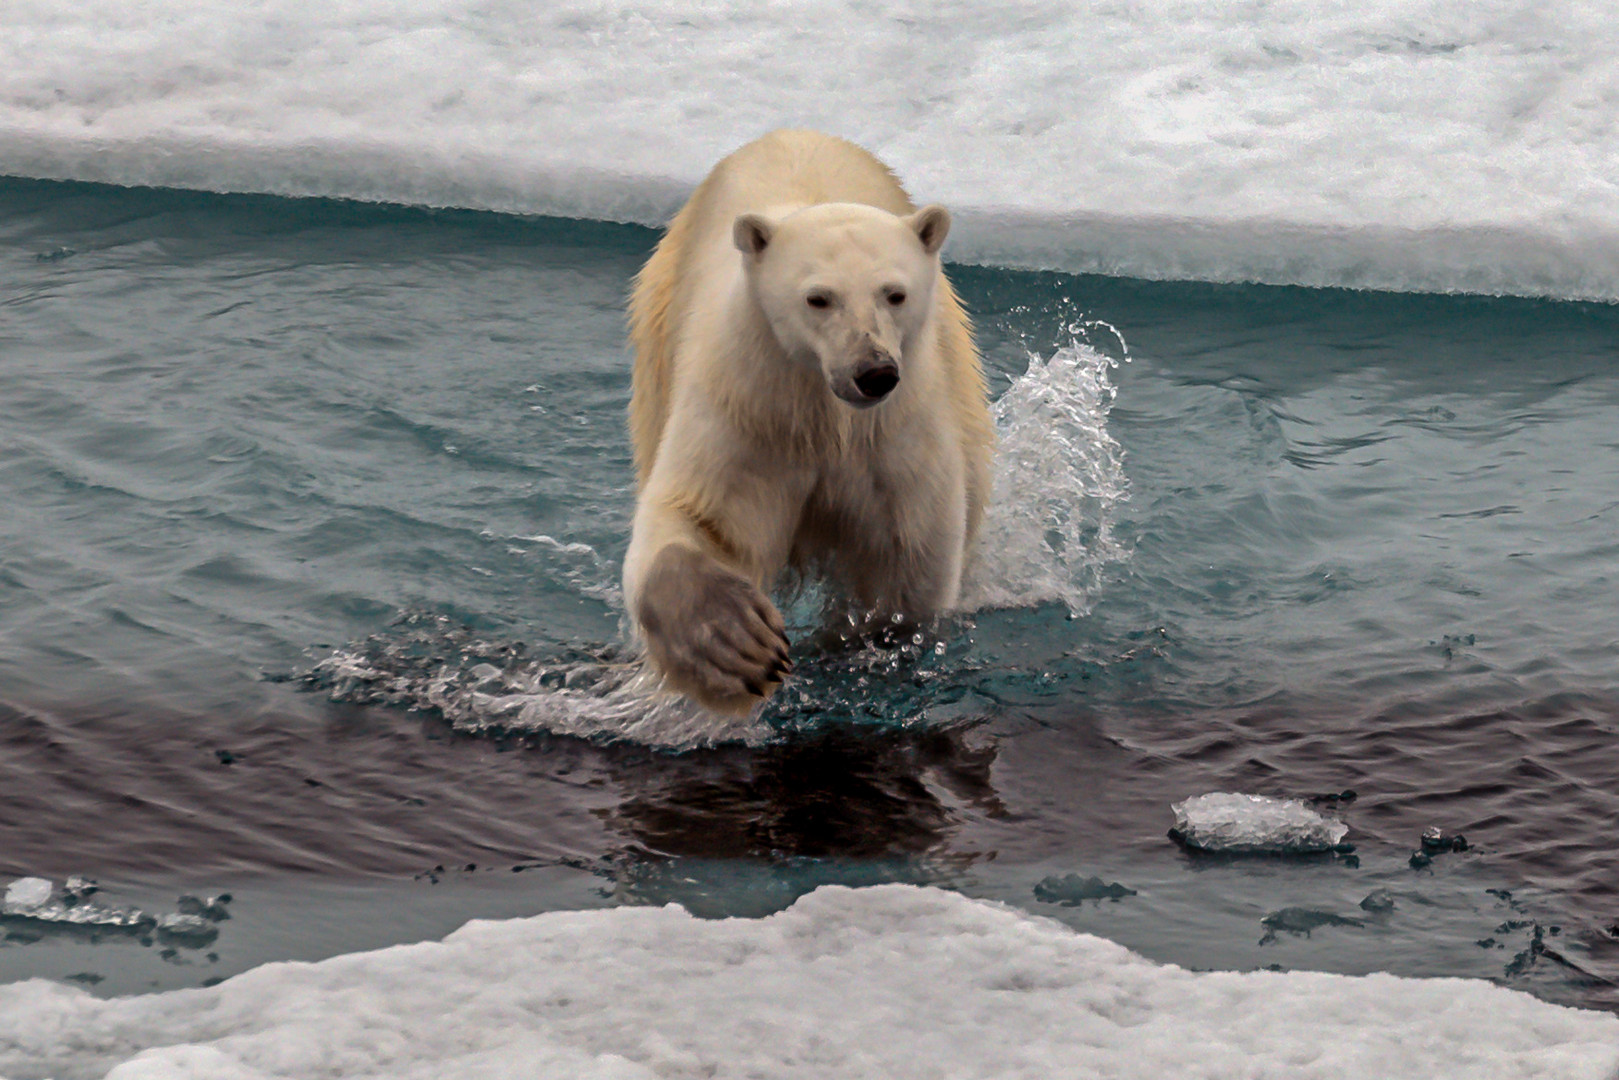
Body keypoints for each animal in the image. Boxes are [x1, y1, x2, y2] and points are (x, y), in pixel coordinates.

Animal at [621, 131, 990, 712]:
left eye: (895, 293)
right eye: (819, 298)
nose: (873, 372)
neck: (824, 413)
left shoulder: (895, 430)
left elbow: (907, 553)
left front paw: (854, 646)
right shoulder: (749, 405)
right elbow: (701, 517)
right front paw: (735, 642)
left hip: (959, 364)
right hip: (660, 329)